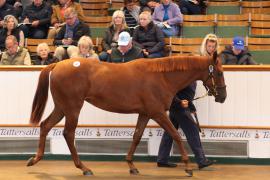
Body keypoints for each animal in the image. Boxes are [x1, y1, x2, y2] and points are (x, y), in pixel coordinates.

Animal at [27, 53, 226, 177]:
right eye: (219, 72)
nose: (223, 97)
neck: (161, 77)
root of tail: (57, 64)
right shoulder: (158, 113)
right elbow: (176, 135)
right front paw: (188, 167)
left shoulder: (145, 114)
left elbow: (137, 137)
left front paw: (131, 165)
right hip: (72, 108)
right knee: (68, 134)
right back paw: (84, 168)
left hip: (62, 108)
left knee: (45, 125)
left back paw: (35, 159)